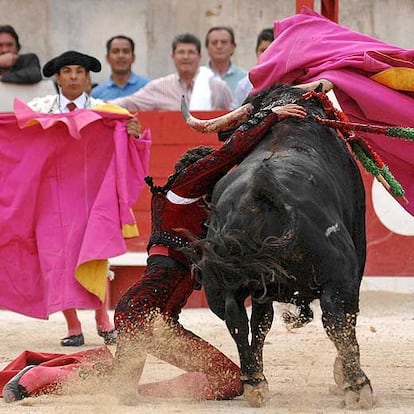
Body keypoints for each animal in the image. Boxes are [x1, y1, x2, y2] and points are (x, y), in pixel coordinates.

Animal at [196, 84, 374, 408]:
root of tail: (263, 188)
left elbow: (260, 321)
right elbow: (346, 320)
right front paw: (343, 375)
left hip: (222, 283)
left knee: (236, 319)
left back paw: (255, 382)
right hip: (339, 273)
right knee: (337, 317)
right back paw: (358, 386)